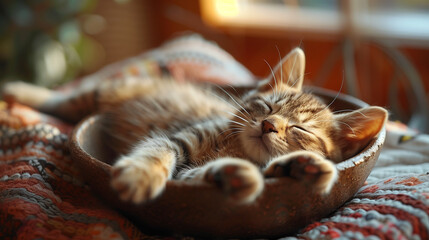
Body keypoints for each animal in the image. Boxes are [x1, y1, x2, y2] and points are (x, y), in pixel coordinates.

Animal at [1, 48, 386, 204]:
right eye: (267, 107)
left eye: (301, 130)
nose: (268, 125)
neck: (235, 147)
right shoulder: (181, 139)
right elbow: (158, 151)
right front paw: (141, 174)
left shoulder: (189, 174)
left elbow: (209, 174)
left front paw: (301, 167)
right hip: (104, 91)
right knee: (61, 99)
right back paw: (17, 93)